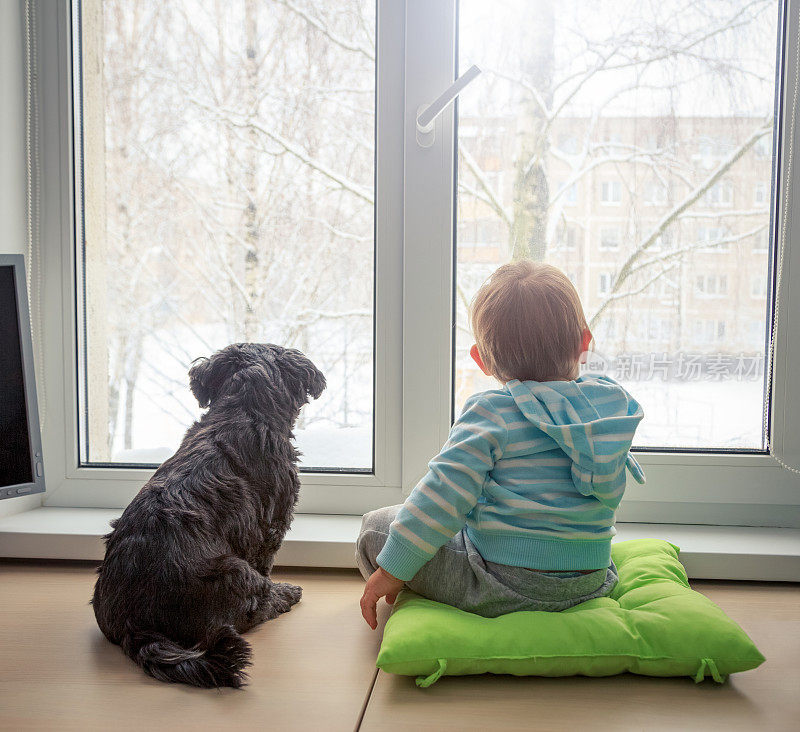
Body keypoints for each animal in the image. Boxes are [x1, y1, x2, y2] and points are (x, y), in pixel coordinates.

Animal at [90, 344, 322, 688]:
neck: (242, 410)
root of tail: (136, 625)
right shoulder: (271, 528)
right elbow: (266, 565)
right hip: (235, 572)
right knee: (255, 605)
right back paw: (285, 595)